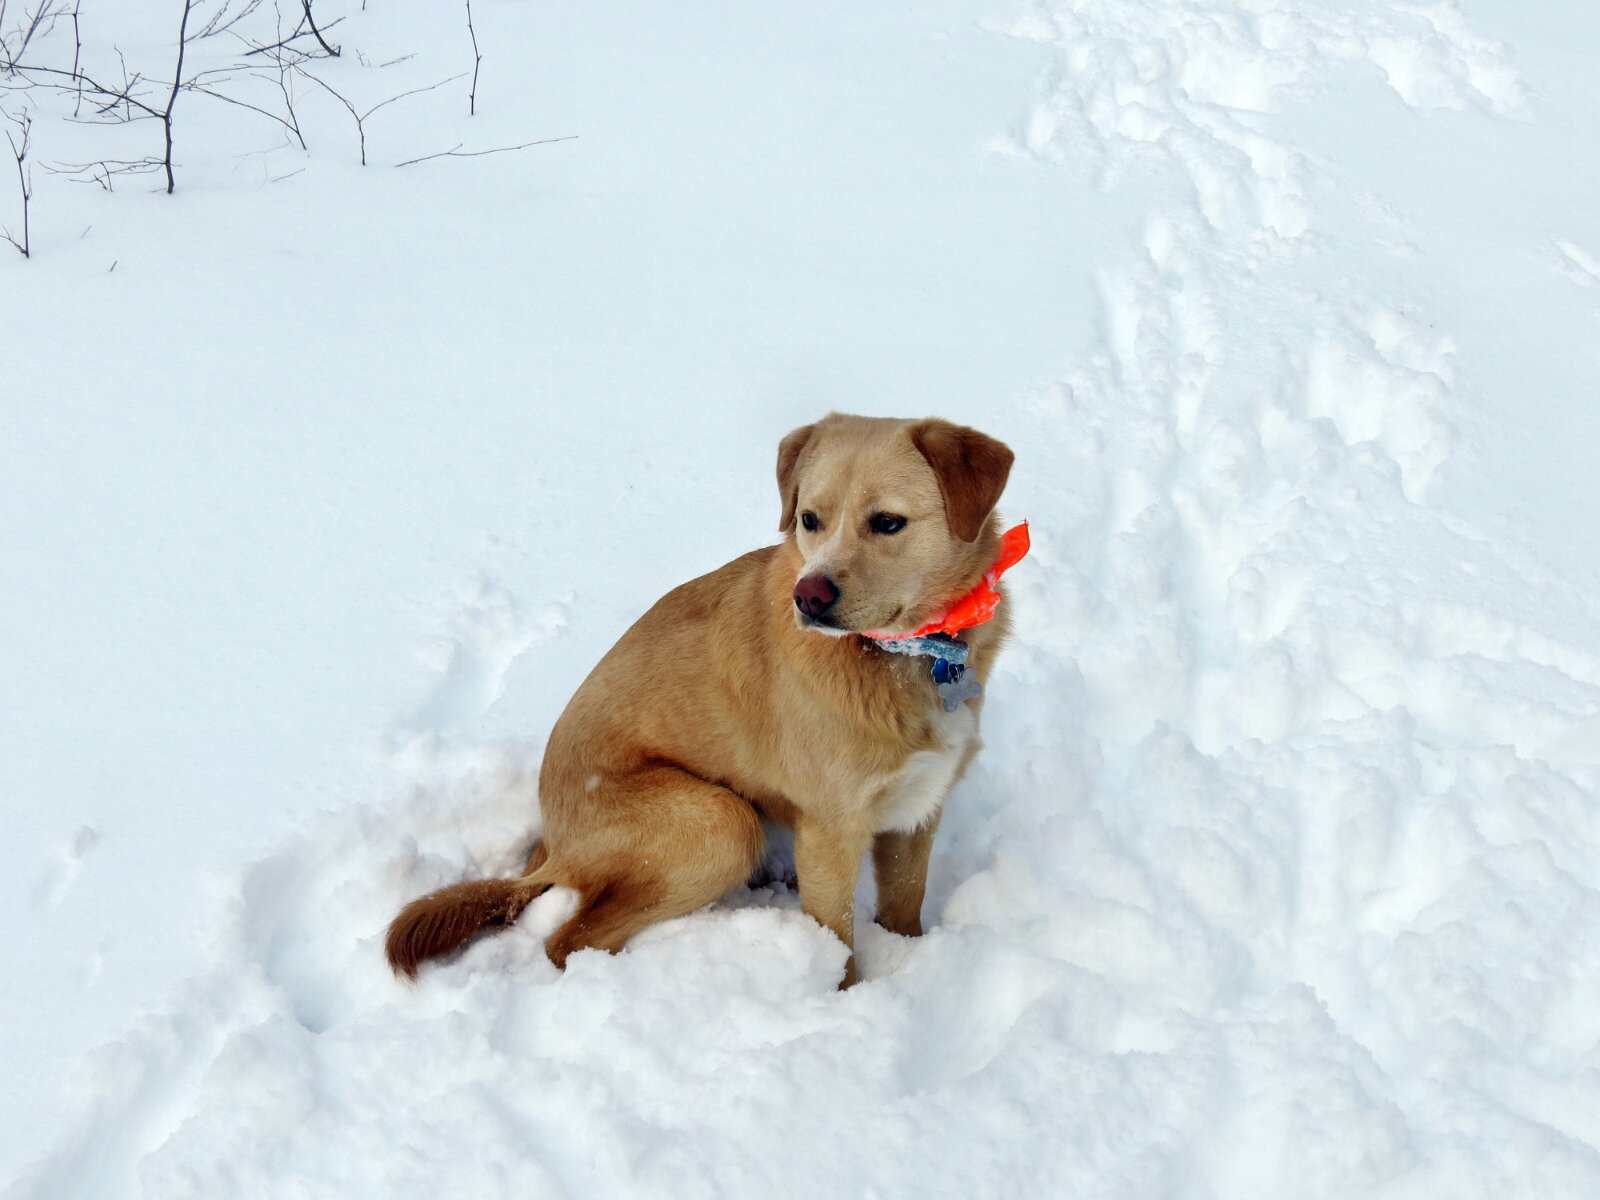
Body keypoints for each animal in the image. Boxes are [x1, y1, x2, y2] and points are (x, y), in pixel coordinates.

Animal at [385, 413, 1014, 988]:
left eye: (887, 522)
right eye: (809, 519)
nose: (808, 597)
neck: (906, 654)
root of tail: (552, 843)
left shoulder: (917, 811)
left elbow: (905, 908)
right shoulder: (832, 831)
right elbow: (839, 947)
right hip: (722, 823)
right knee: (568, 941)